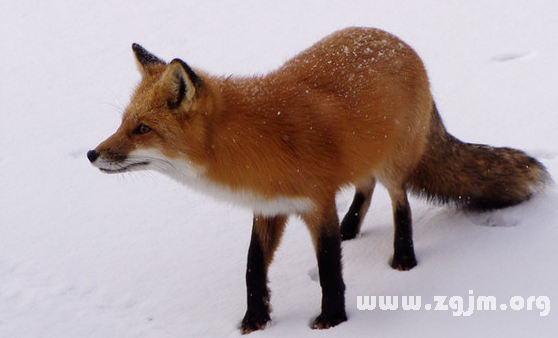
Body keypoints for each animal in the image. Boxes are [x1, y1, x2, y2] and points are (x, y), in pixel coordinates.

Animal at [87, 26, 552, 332]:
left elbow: (329, 268)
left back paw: (403, 257)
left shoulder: (316, 202)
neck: (254, 141)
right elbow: (253, 269)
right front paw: (255, 319)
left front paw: (333, 318)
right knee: (364, 187)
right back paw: (353, 227)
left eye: (142, 129)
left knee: (399, 203)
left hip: (392, 164)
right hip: (366, 158)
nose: (92, 155)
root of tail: (397, 40)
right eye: (123, 123)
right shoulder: (268, 207)